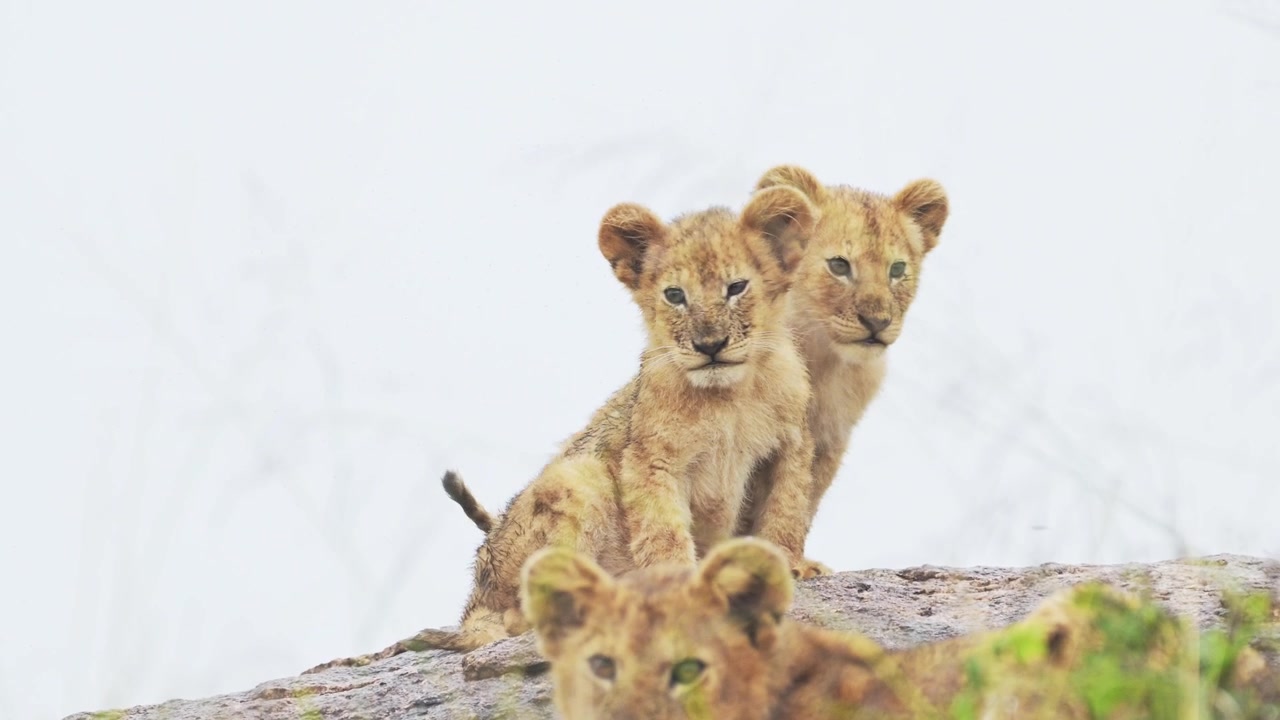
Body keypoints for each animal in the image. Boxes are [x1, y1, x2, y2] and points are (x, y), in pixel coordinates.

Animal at [302, 186, 821, 673]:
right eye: (675, 295)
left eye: (737, 287)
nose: (709, 344)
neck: (730, 394)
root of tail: (475, 601)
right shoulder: (648, 459)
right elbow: (663, 532)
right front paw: (679, 584)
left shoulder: (791, 444)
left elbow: (786, 511)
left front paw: (793, 567)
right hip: (579, 479)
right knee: (523, 611)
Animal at [736, 166, 950, 577]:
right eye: (839, 265)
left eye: (897, 270)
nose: (877, 322)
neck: (827, 364)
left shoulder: (830, 440)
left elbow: (801, 500)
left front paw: (797, 563)